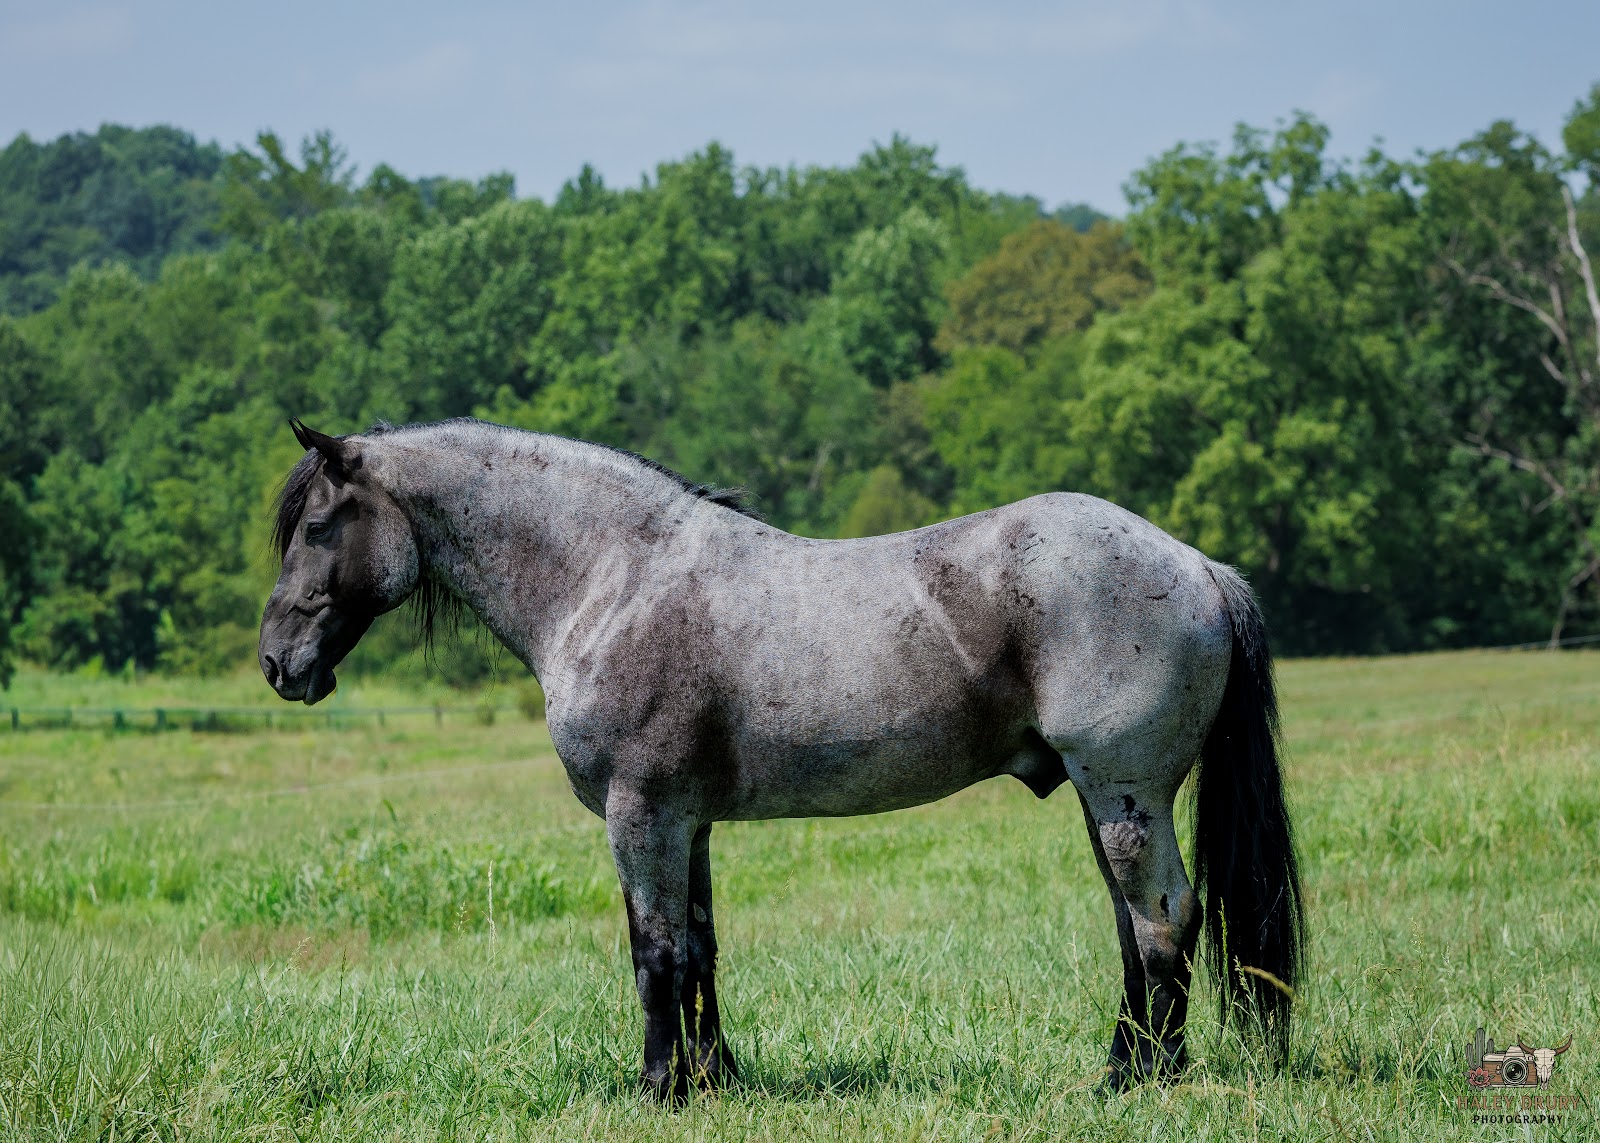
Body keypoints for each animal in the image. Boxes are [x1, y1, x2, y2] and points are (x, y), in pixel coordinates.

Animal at [258, 417, 1302, 1102]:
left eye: (317, 527)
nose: (277, 663)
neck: (614, 577)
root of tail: (1198, 565)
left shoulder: (641, 815)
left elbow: (653, 951)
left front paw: (657, 1087)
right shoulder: (688, 821)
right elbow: (700, 948)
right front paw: (714, 1078)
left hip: (1125, 793)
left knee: (1163, 919)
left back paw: (1146, 1079)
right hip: (1105, 801)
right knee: (1138, 928)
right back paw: (1123, 1069)